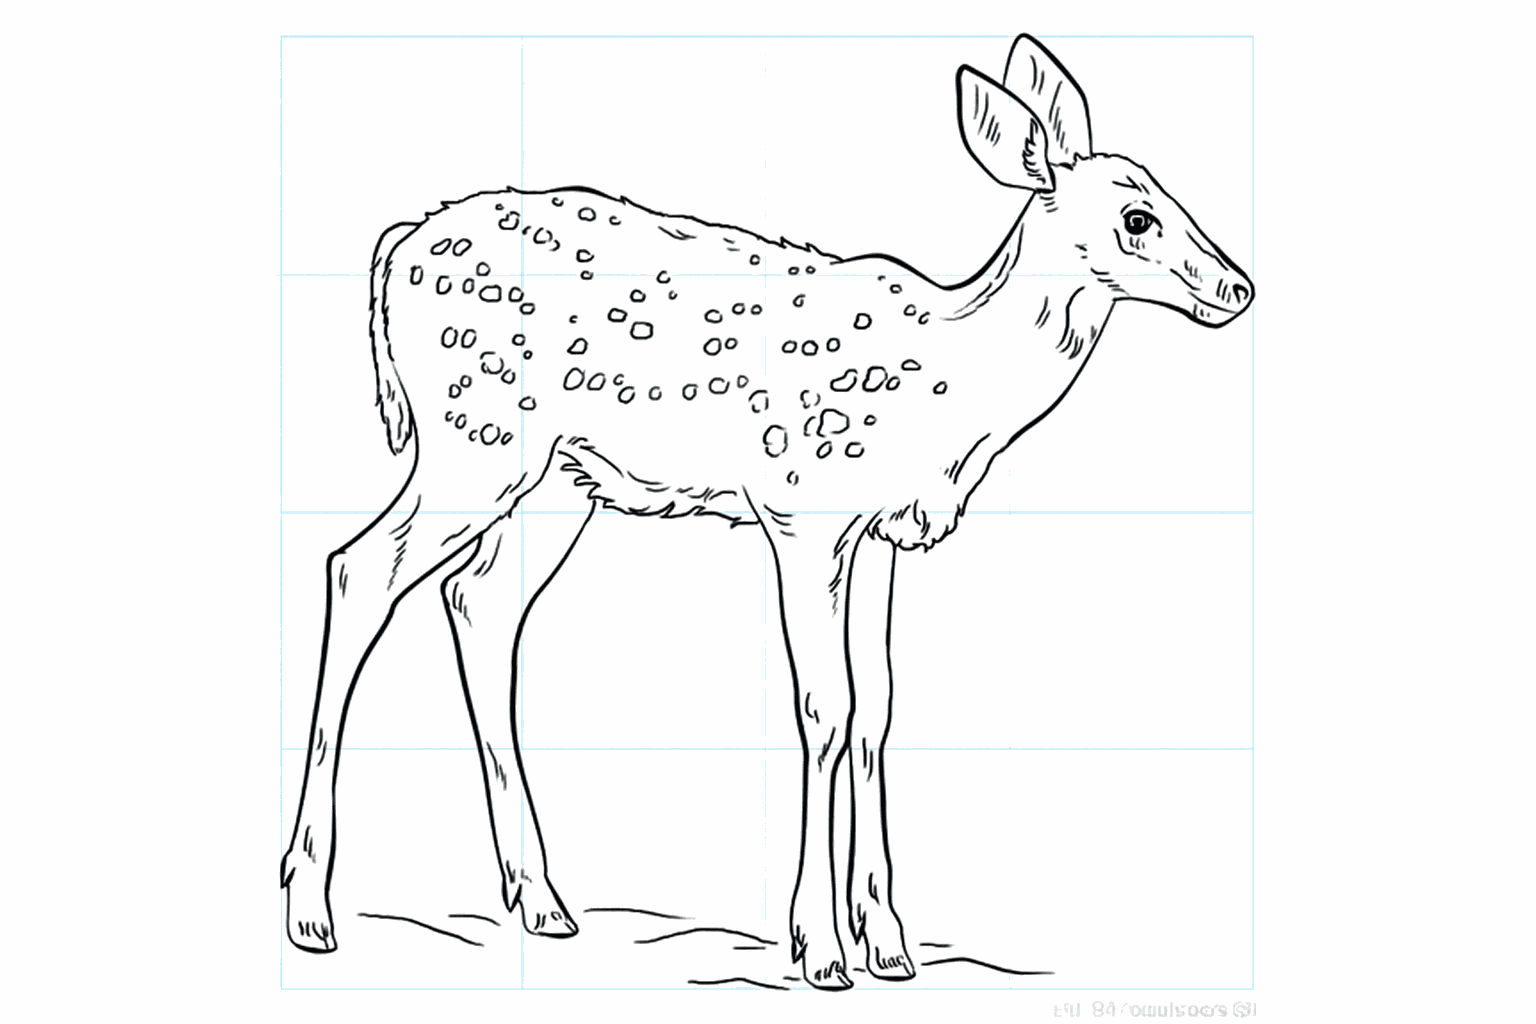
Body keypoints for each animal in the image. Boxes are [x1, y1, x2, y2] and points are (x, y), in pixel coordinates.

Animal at [281, 34, 1254, 990]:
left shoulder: (880, 536)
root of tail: (395, 247)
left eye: (1171, 193)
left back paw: (542, 901)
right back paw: (310, 907)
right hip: (471, 439)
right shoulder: (801, 507)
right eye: (1138, 218)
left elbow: (877, 708)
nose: (1238, 288)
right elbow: (824, 705)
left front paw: (888, 941)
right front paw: (820, 948)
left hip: (554, 478)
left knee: (479, 602)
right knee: (359, 568)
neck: (951, 385)